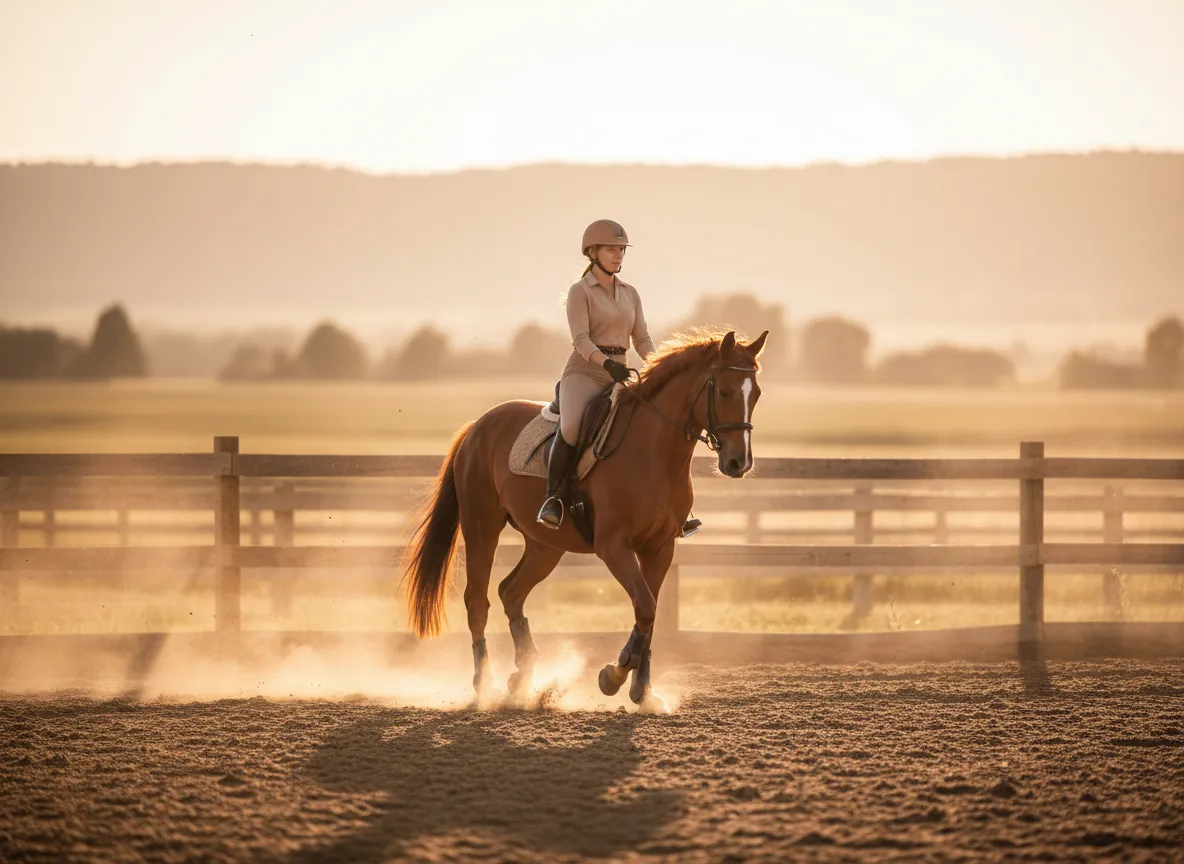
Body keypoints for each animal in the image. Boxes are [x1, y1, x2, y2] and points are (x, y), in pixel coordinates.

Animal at [401, 328, 768, 708]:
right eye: (724, 391)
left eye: (755, 394)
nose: (739, 463)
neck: (654, 453)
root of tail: (477, 426)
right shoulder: (614, 546)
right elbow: (645, 607)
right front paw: (614, 675)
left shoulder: (660, 548)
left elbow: (649, 615)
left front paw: (644, 692)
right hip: (481, 528)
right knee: (478, 601)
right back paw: (486, 686)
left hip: (545, 546)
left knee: (511, 592)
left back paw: (524, 676)